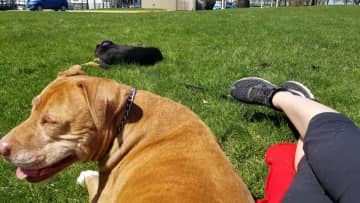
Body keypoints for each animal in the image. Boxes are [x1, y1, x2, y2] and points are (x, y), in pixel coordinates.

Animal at [0, 66, 255, 202]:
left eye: (51, 121)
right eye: (32, 109)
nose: (1, 146)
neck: (123, 122)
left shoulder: (101, 196)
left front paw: (86, 175)